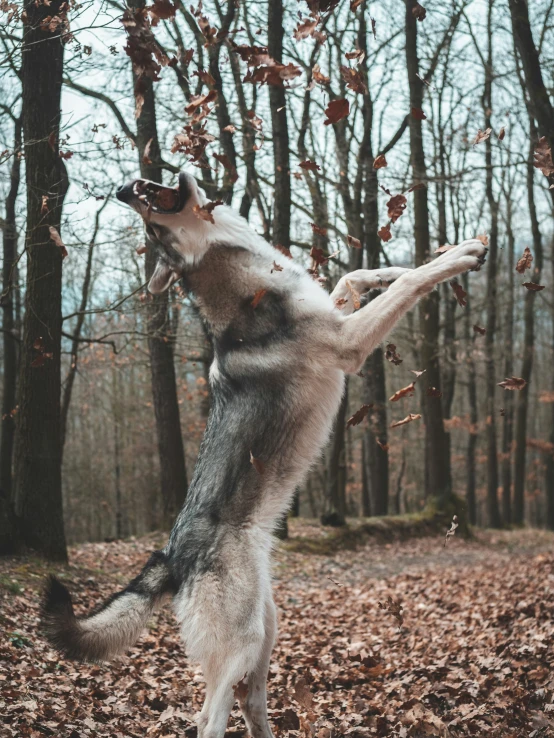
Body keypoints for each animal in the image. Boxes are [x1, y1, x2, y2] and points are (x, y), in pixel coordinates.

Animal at [42, 171, 484, 736]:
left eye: (149, 228)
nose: (124, 188)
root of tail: (171, 556)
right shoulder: (348, 342)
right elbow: (411, 286)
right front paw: (457, 256)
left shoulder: (334, 308)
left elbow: (355, 275)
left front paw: (405, 262)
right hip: (244, 642)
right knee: (207, 717)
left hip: (267, 629)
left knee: (251, 703)